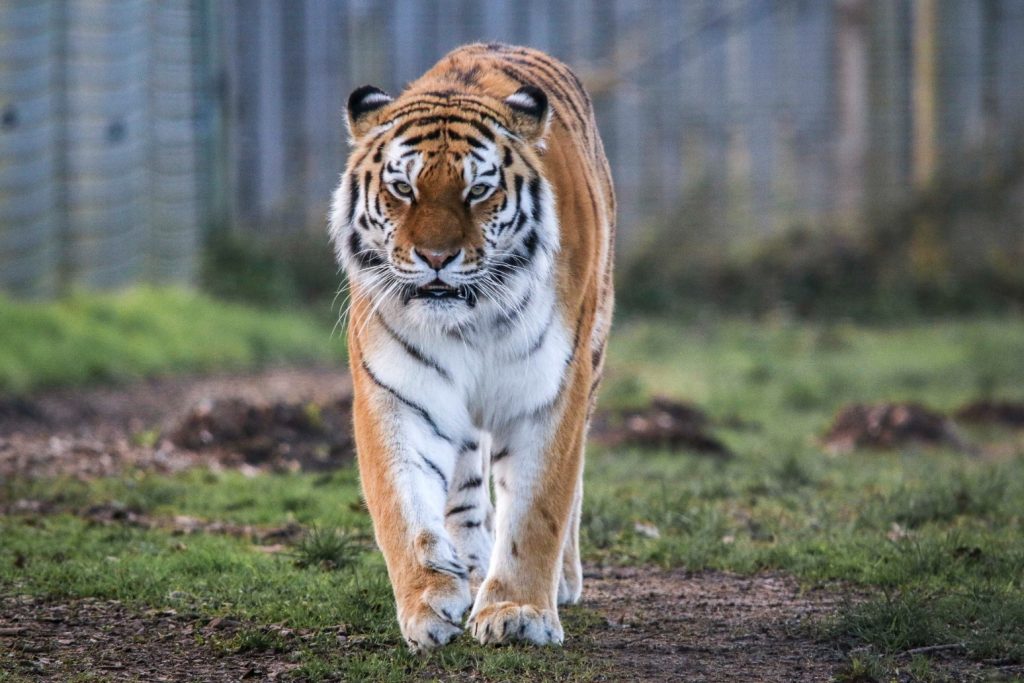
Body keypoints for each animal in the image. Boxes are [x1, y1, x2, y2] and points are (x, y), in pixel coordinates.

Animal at [328, 43, 614, 651]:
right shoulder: (398, 393)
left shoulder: (550, 392)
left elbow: (538, 509)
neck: (471, 321)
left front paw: (519, 612)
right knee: (462, 487)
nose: (437, 257)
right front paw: (428, 602)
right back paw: (471, 567)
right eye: (403, 188)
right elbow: (403, 508)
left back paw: (562, 582)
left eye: (478, 190)